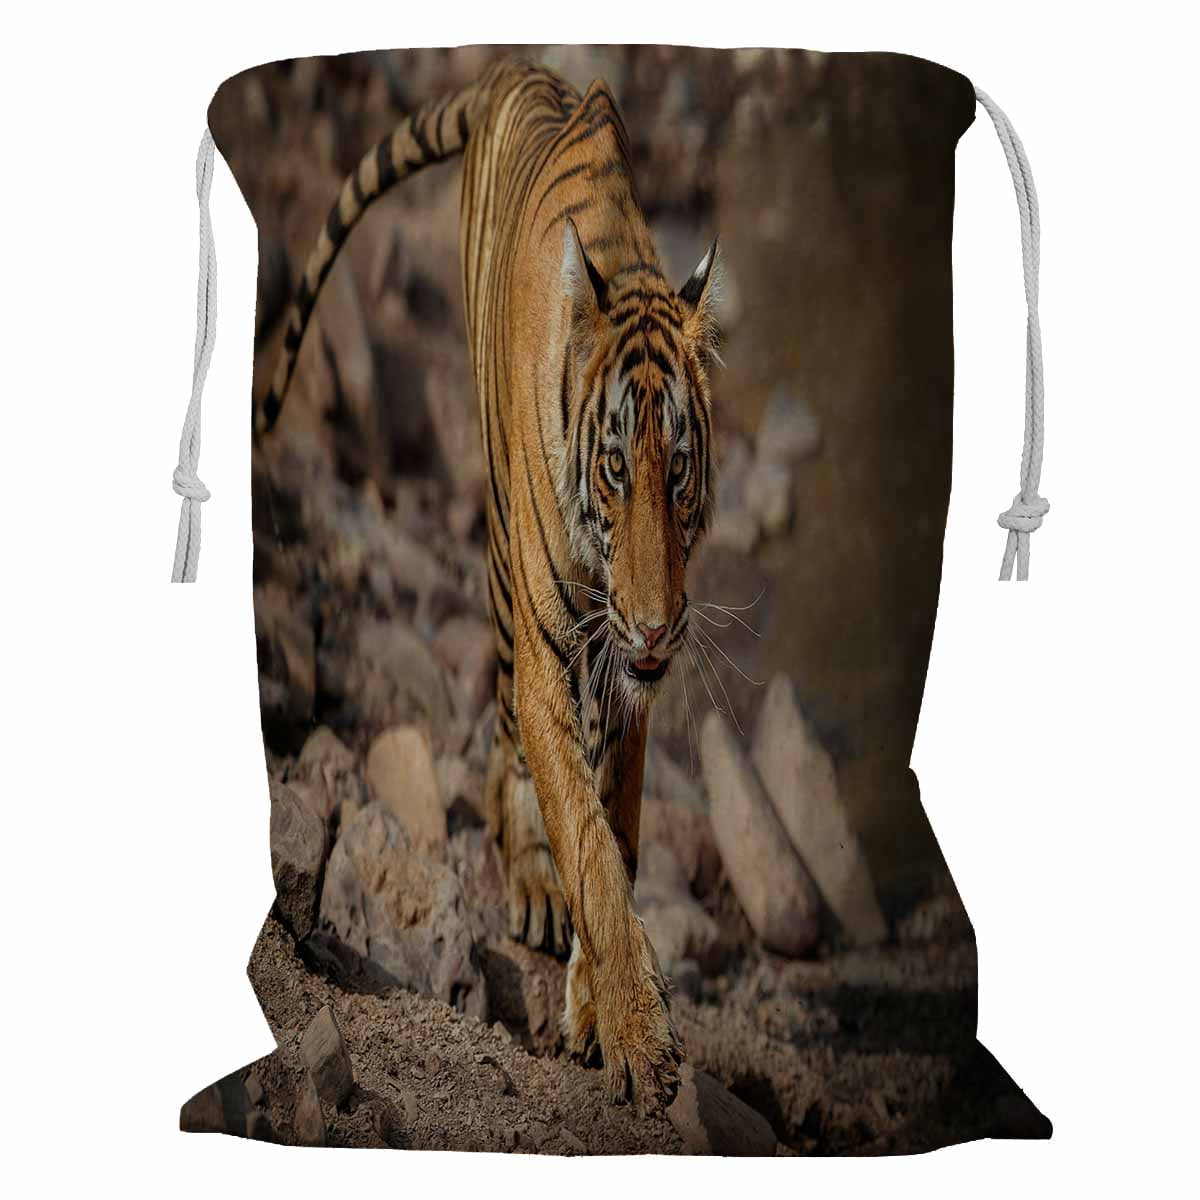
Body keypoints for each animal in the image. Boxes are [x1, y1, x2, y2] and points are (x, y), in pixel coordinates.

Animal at [258, 55, 721, 1111]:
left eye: (678, 470)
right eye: (614, 470)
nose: (655, 628)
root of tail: (528, 68)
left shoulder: (628, 686)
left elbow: (619, 833)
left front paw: (596, 1006)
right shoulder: (558, 651)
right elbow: (584, 839)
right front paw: (640, 1041)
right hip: (507, 564)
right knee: (504, 742)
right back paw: (532, 883)